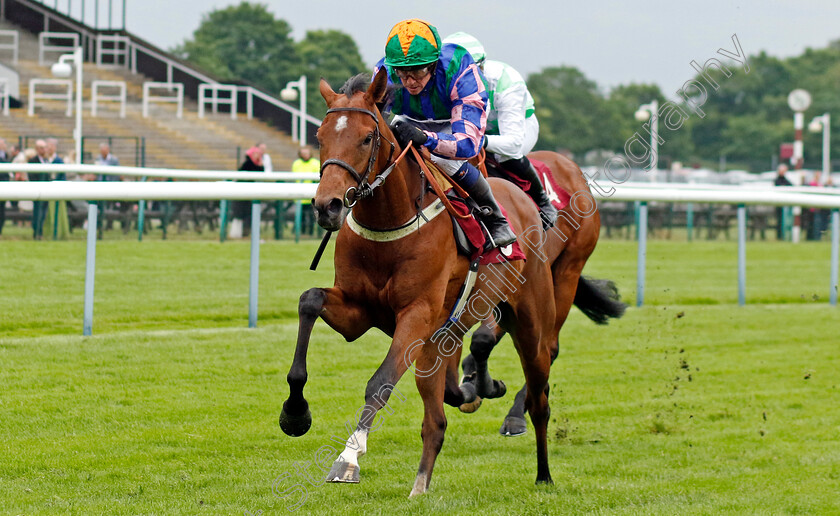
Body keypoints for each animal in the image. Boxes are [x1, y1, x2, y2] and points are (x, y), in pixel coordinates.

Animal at [280, 69, 624, 496]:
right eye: (320, 135)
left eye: (367, 137)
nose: (327, 206)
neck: (390, 225)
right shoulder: (359, 310)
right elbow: (309, 301)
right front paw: (295, 414)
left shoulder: (416, 314)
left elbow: (380, 382)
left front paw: (348, 458)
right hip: (448, 332)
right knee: (438, 415)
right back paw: (425, 476)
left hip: (550, 295)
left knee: (541, 386)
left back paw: (539, 466)